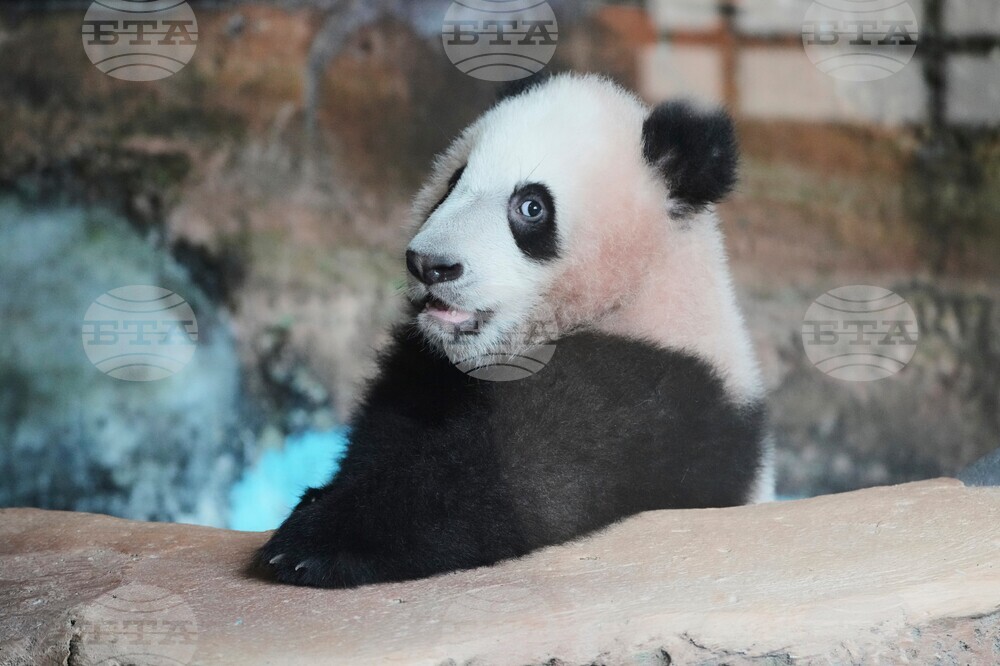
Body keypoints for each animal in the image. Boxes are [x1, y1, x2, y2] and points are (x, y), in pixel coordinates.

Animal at [254, 73, 773, 588]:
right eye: (454, 181)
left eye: (531, 207)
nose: (430, 265)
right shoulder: (430, 367)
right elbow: (392, 424)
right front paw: (318, 501)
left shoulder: (657, 386)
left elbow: (528, 482)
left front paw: (313, 542)